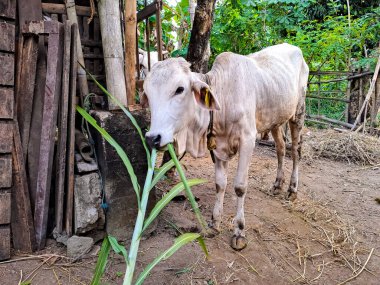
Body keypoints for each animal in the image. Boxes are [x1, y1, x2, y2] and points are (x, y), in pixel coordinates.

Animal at [142, 43, 308, 250]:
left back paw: (292, 189)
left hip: (298, 113)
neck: (224, 96)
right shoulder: (218, 147)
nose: (152, 138)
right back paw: (277, 184)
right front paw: (214, 223)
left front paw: (239, 231)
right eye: (147, 94)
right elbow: (220, 184)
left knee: (296, 151)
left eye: (179, 89)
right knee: (281, 148)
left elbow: (240, 186)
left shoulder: (248, 140)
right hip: (276, 120)